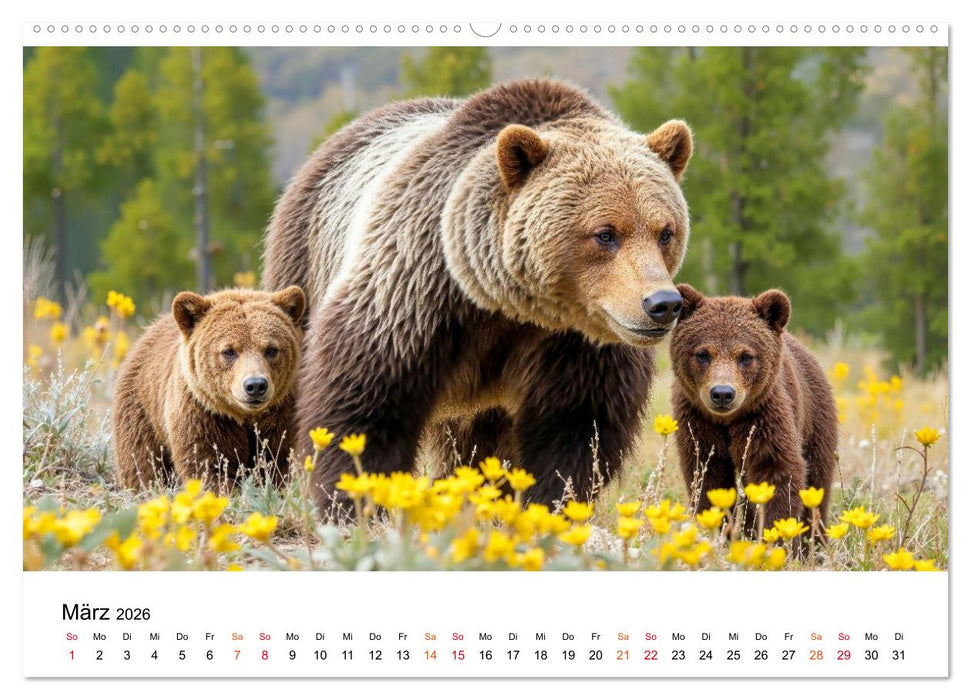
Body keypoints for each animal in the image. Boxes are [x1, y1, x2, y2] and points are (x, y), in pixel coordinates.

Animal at [113, 286, 306, 490]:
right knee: (142, 462)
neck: (242, 416)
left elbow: (280, 459)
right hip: (142, 412)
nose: (255, 385)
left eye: (271, 349)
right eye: (229, 351)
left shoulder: (281, 413)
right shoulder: (203, 415)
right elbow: (207, 465)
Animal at [262, 79, 693, 514]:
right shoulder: (414, 293)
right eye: (605, 233)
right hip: (305, 263)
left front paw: (547, 502)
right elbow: (366, 402)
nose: (662, 304)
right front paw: (357, 499)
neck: (507, 304)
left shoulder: (578, 344)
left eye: (665, 232)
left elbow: (574, 429)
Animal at [668, 283, 839, 533]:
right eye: (702, 354)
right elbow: (708, 478)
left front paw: (775, 533)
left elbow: (777, 474)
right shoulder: (697, 422)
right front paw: (718, 530)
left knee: (817, 485)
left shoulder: (763, 419)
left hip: (815, 420)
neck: (727, 421)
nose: (722, 393)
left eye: (746, 356)